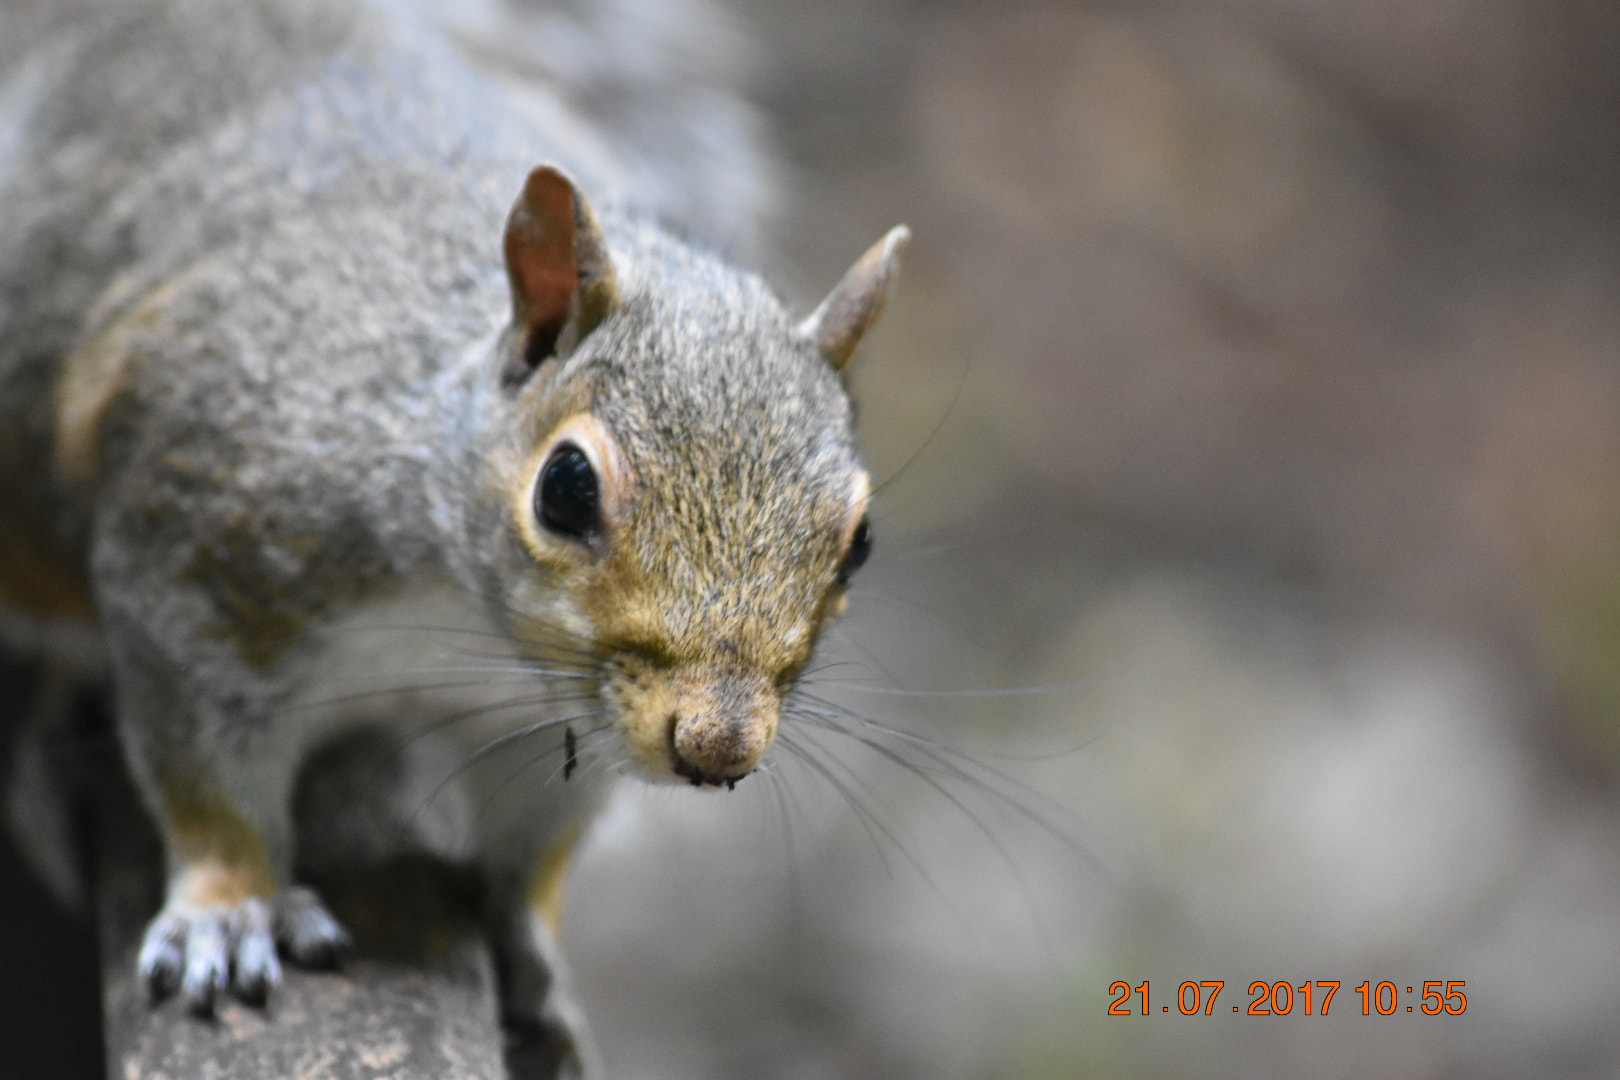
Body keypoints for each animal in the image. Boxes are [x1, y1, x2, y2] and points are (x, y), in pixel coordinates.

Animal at [0, 0, 913, 1075]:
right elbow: (203, 773)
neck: (469, 625)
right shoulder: (195, 557)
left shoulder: (550, 731)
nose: (717, 749)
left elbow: (532, 849)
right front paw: (232, 907)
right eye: (566, 487)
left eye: (859, 540)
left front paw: (534, 957)